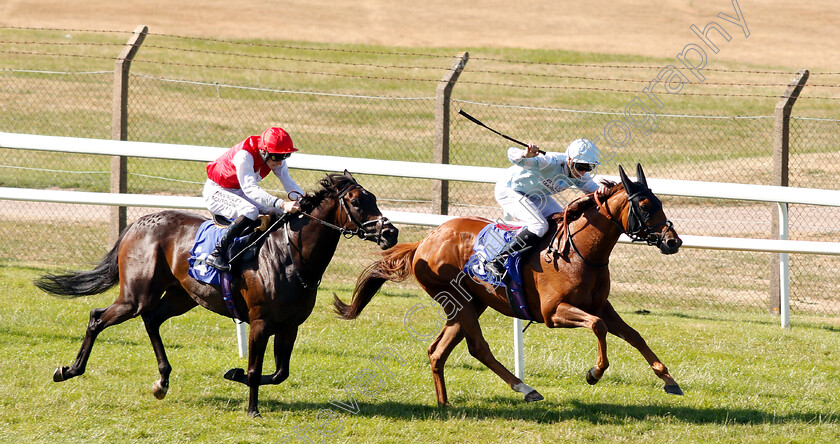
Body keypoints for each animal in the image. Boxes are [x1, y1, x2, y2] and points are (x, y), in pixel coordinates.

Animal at [35, 171, 398, 416]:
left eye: (374, 198)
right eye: (356, 201)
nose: (390, 232)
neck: (290, 255)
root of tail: (139, 222)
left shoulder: (290, 326)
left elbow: (280, 373)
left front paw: (233, 374)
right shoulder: (260, 322)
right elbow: (256, 370)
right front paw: (252, 409)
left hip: (181, 296)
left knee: (152, 320)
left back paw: (162, 382)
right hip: (136, 295)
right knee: (98, 318)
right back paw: (69, 370)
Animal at [334, 164, 684, 406]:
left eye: (660, 203)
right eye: (645, 206)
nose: (673, 241)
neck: (580, 251)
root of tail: (426, 240)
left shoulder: (600, 305)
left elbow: (634, 334)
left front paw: (668, 379)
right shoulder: (553, 312)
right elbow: (598, 327)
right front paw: (594, 373)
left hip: (470, 303)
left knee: (437, 351)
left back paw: (444, 403)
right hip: (459, 302)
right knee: (478, 348)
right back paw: (525, 389)